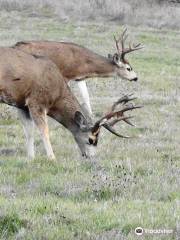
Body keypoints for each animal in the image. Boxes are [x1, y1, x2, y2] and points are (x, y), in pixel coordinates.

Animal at [0, 47, 141, 159]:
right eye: (91, 140)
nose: (90, 157)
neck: (57, 92)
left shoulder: (21, 104)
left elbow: (29, 132)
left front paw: (31, 158)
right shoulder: (36, 101)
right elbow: (44, 130)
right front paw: (52, 158)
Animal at [13, 28, 142, 116]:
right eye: (129, 68)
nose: (136, 78)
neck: (84, 61)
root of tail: (15, 46)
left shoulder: (80, 78)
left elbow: (86, 99)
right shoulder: (65, 75)